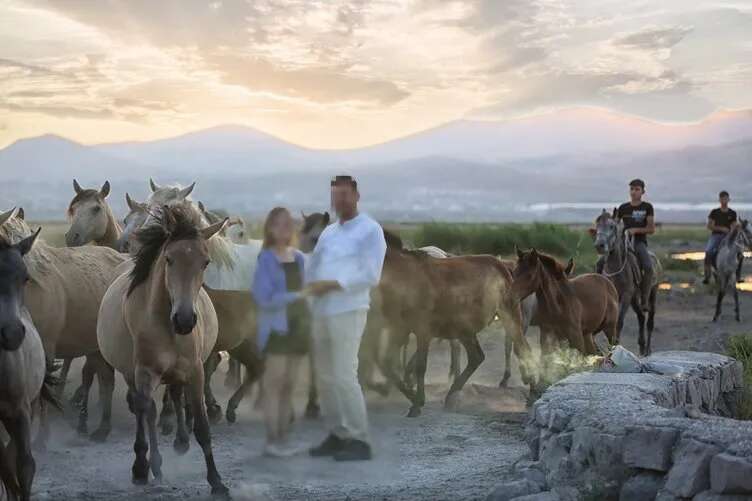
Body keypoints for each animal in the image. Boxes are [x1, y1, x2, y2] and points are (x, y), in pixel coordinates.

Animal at [376, 232, 536, 416]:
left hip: (509, 318)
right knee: (477, 357)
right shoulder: (401, 329)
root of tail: (502, 266)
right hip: (465, 329)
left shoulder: (423, 330)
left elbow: (420, 366)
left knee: (522, 349)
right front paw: (413, 397)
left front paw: (417, 403)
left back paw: (533, 394)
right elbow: (386, 364)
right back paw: (451, 395)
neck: (405, 275)